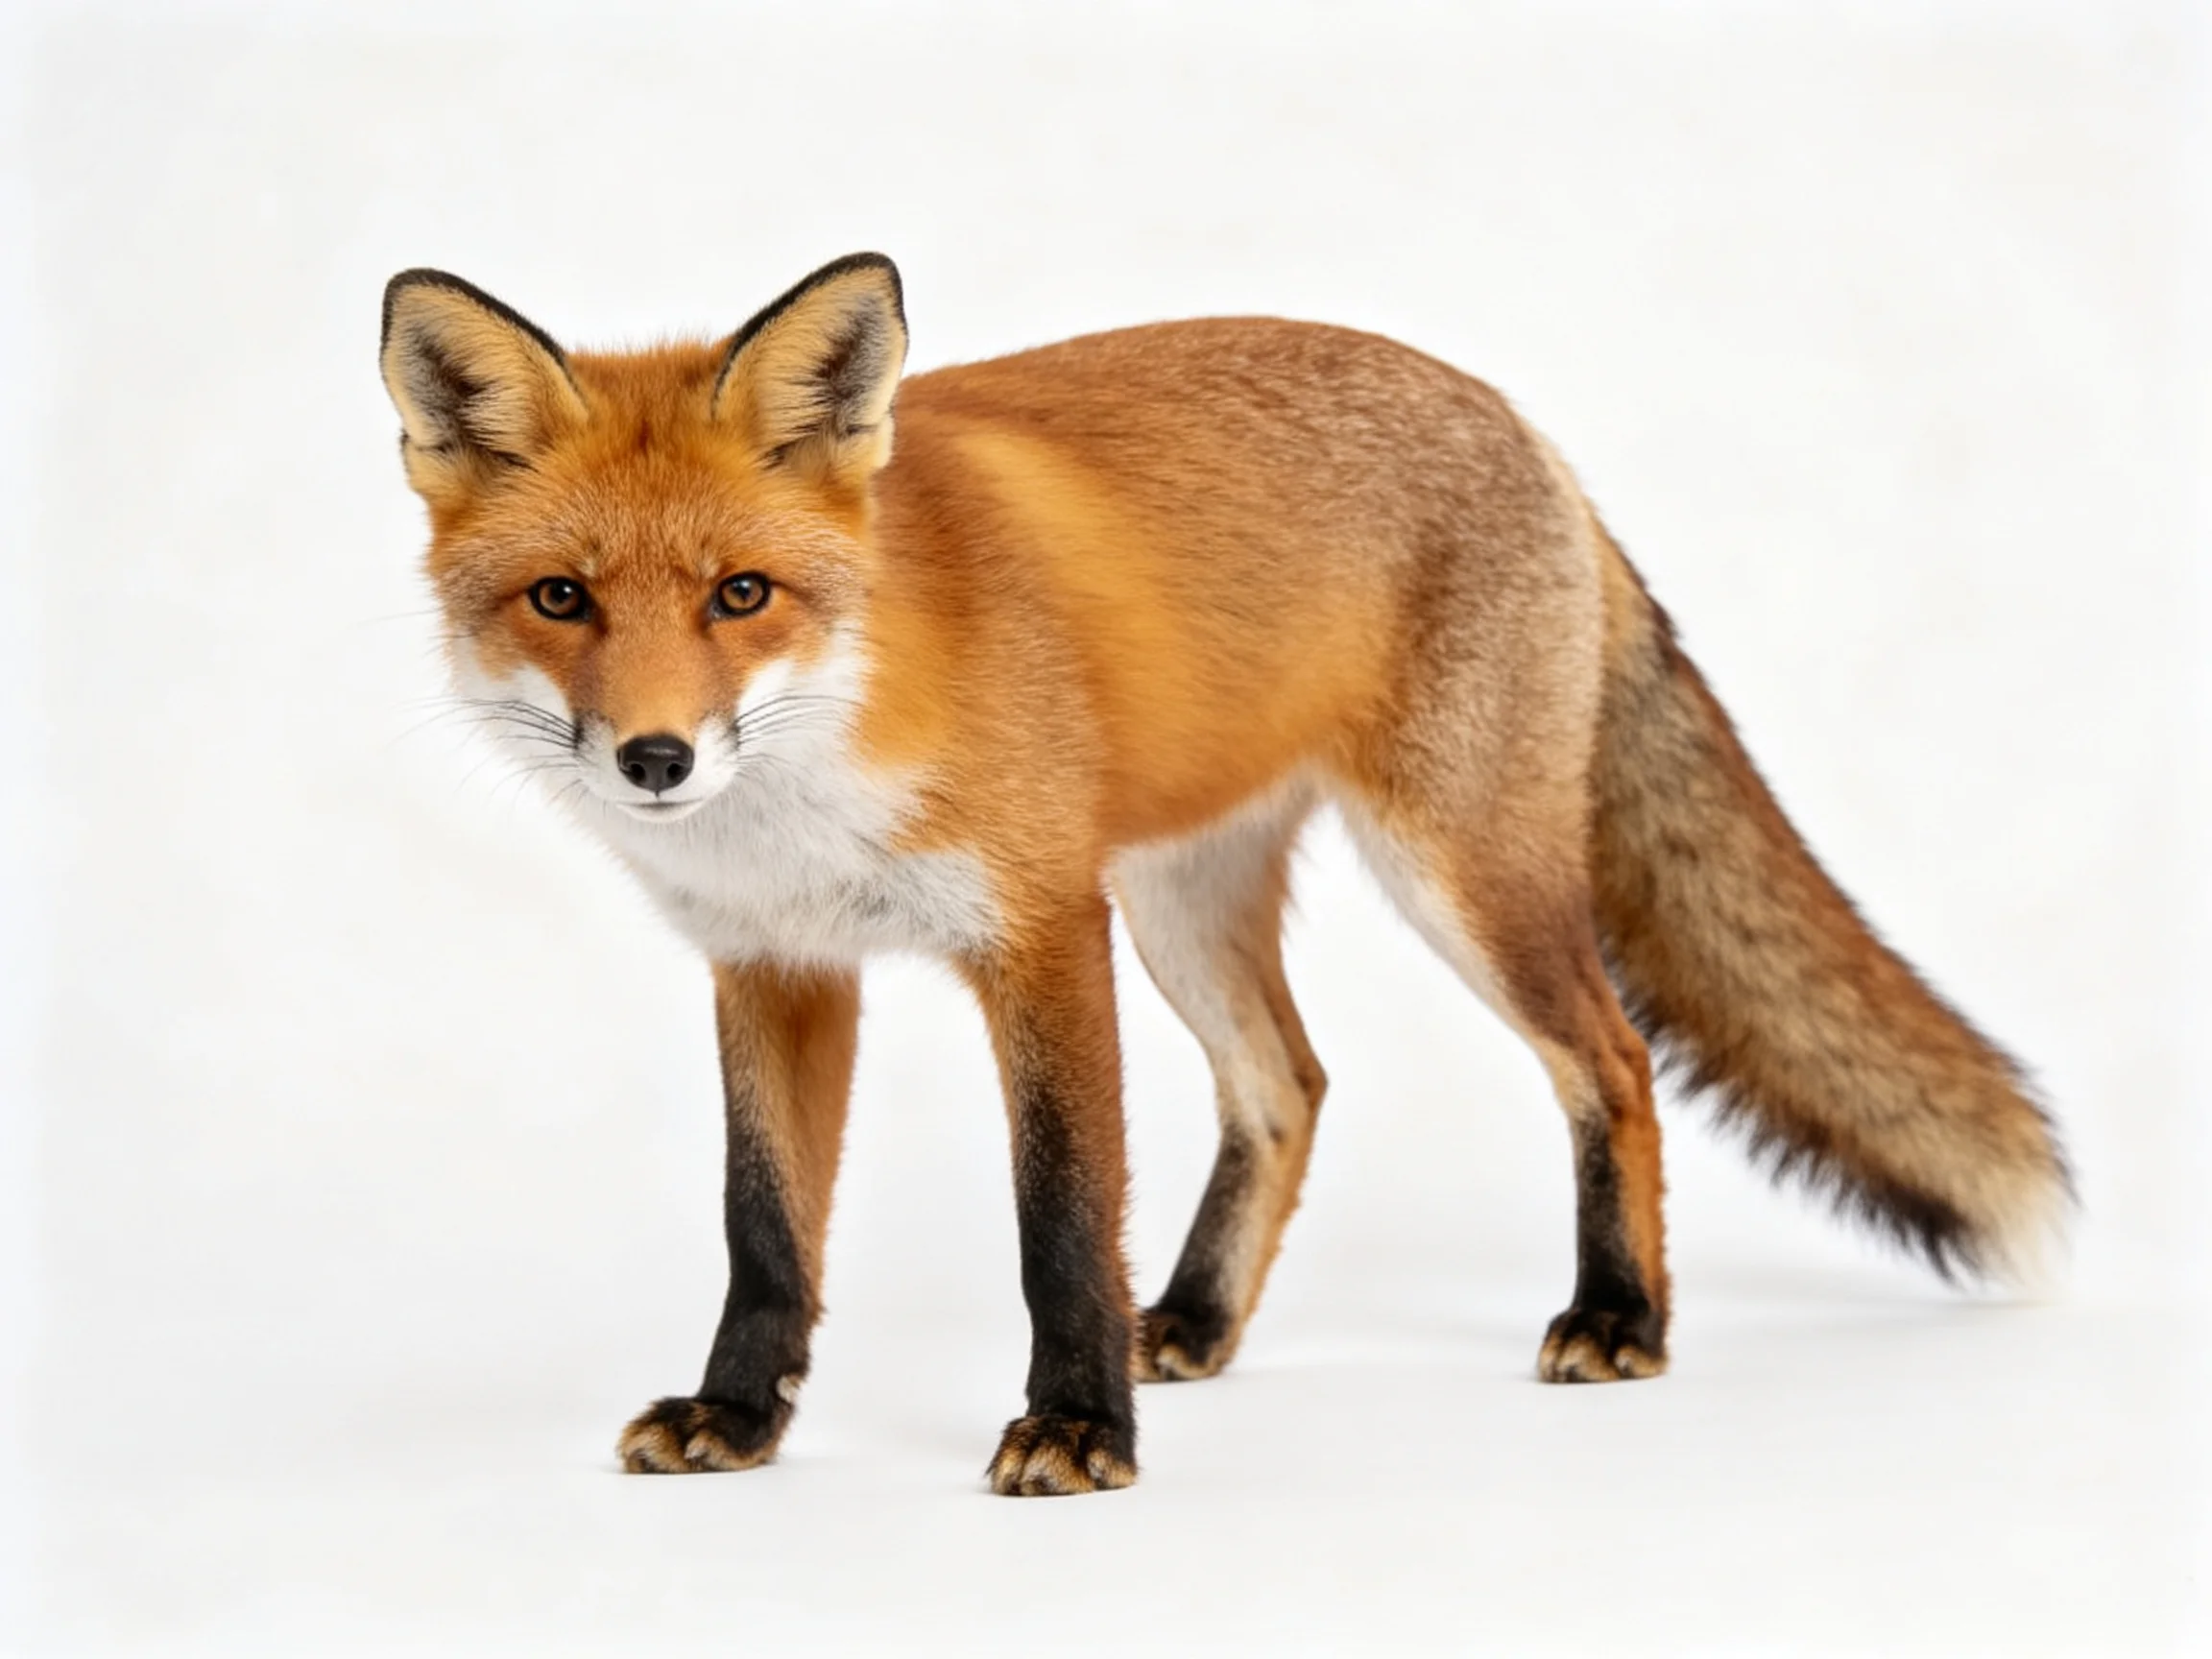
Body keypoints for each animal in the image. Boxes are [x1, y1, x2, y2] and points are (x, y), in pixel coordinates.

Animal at [378, 252, 2070, 1496]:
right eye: (561, 599)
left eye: (742, 595)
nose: (655, 760)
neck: (820, 766)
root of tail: (1524, 428)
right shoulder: (778, 964)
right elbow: (764, 1228)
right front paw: (740, 1418)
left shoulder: (1042, 932)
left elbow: (1061, 1213)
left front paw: (1078, 1428)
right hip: (1186, 905)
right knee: (1289, 1082)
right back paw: (1194, 1319)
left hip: (1459, 876)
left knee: (1613, 1059)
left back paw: (1618, 1315)